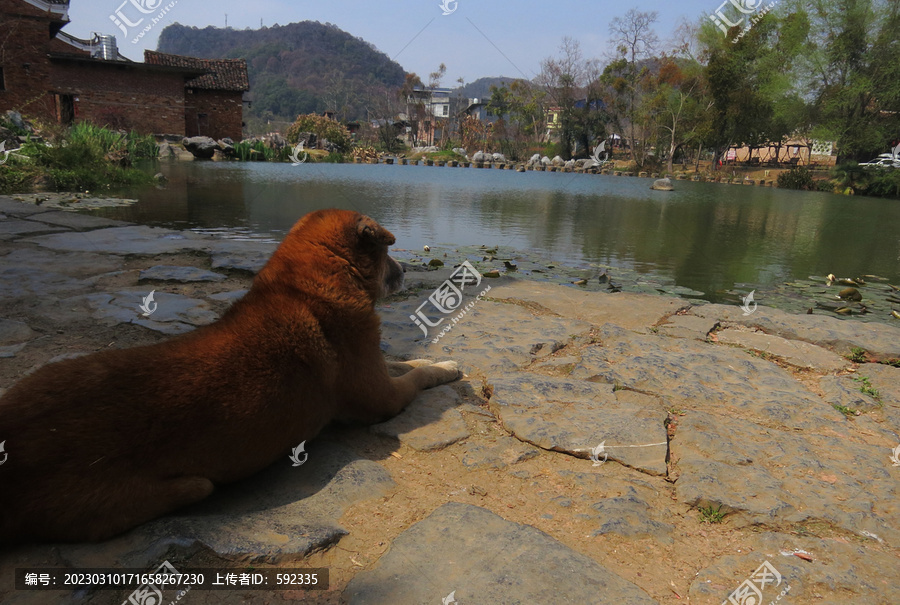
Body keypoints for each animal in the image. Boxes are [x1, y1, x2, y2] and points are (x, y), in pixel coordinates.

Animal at [0, 209, 460, 544]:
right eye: (387, 254)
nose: (407, 272)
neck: (302, 286)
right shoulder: (380, 396)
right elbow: (415, 378)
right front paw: (444, 369)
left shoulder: (376, 370)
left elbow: (405, 364)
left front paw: (433, 361)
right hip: (161, 492)